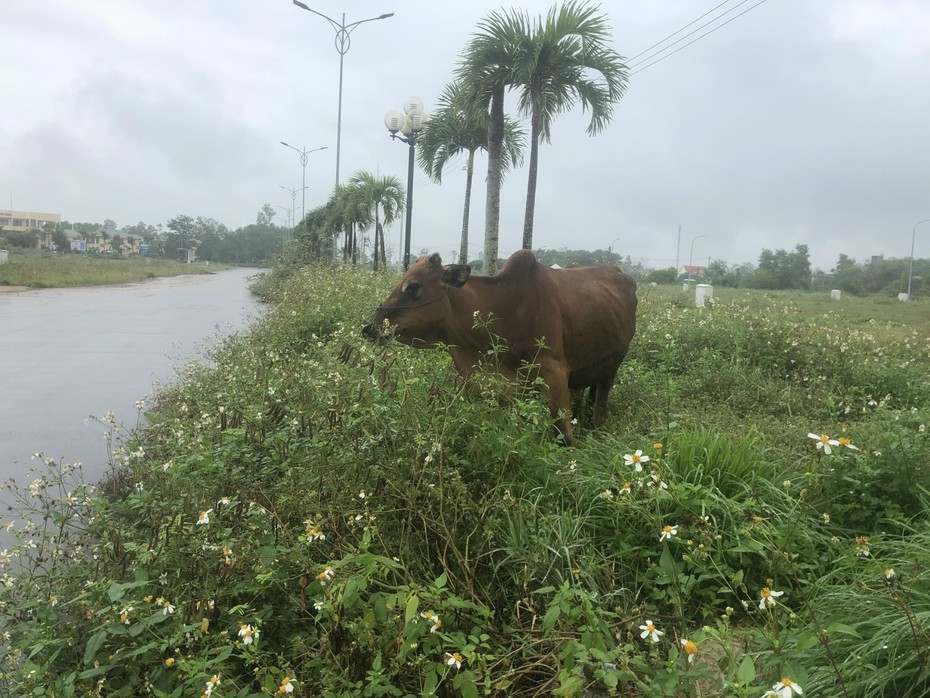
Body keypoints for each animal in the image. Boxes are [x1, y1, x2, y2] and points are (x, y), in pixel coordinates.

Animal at [358, 250, 636, 444]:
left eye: (413, 286)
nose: (368, 327)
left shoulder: (555, 374)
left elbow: (565, 437)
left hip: (612, 369)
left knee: (599, 409)